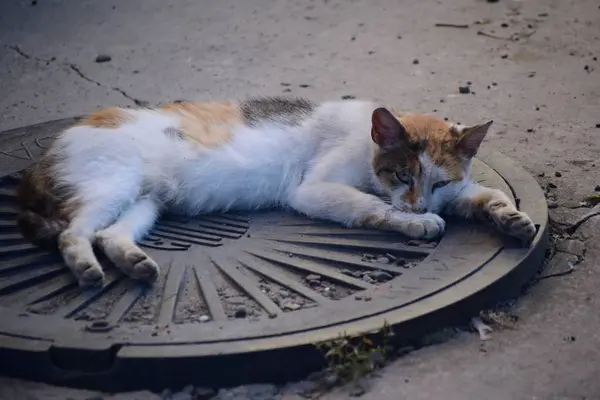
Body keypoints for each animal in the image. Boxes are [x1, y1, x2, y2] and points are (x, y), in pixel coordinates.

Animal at [16, 97, 536, 288]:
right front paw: (416, 222)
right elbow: (370, 205)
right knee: (74, 232)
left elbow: (483, 193)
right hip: (111, 183)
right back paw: (86, 268)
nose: (418, 202)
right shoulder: (313, 189)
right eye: (402, 176)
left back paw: (132, 262)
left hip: (145, 203)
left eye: (438, 181)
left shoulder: (457, 189)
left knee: (110, 234)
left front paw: (510, 217)